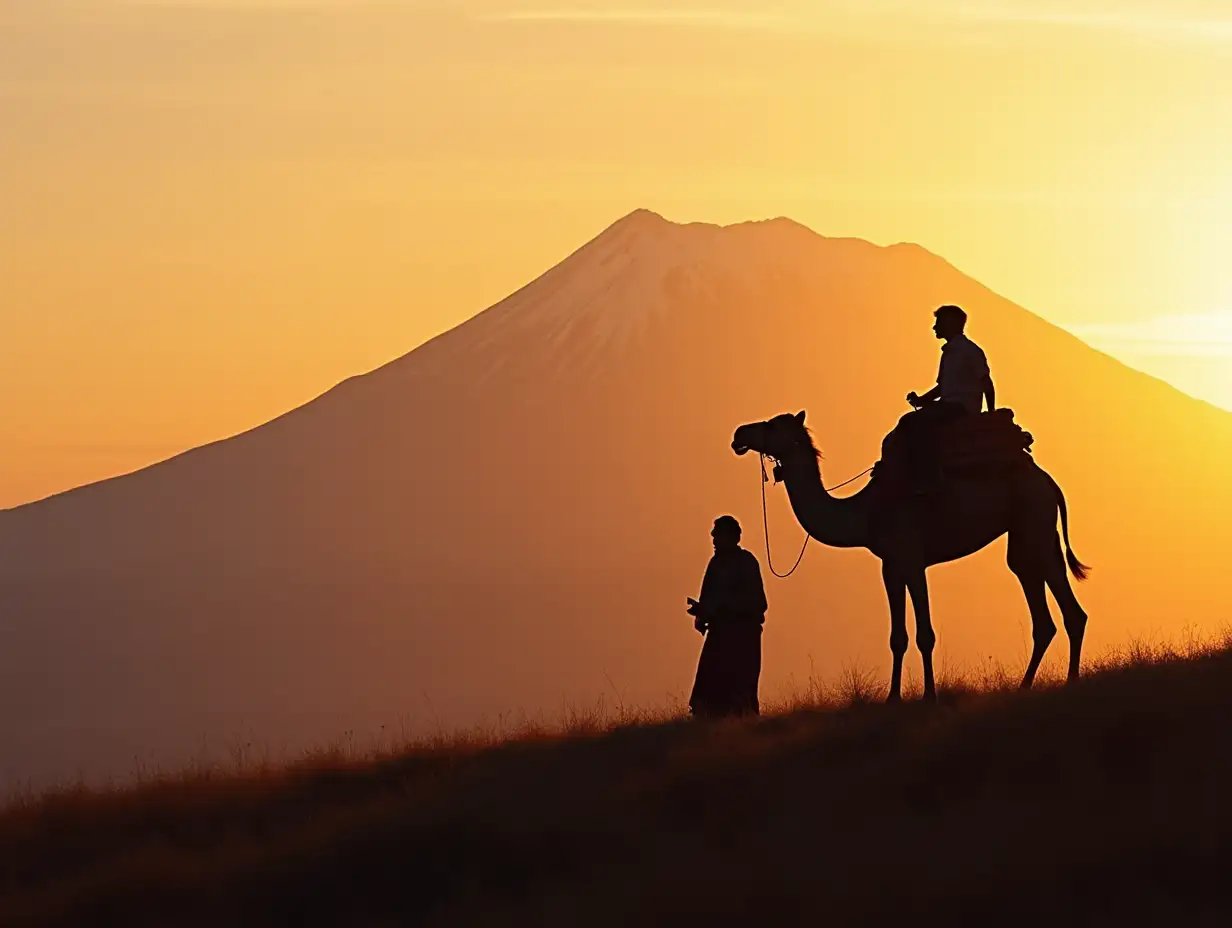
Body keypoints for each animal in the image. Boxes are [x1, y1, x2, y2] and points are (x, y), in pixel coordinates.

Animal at [729, 411, 1089, 700]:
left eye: (771, 425)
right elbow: (897, 637)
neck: (866, 512)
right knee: (1044, 595)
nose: (739, 434)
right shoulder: (890, 565)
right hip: (1032, 527)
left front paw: (929, 695)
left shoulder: (913, 559)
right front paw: (893, 698)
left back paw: (1059, 682)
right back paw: (1036, 684)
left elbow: (925, 634)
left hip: (1033, 515)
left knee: (1056, 601)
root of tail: (1049, 482)